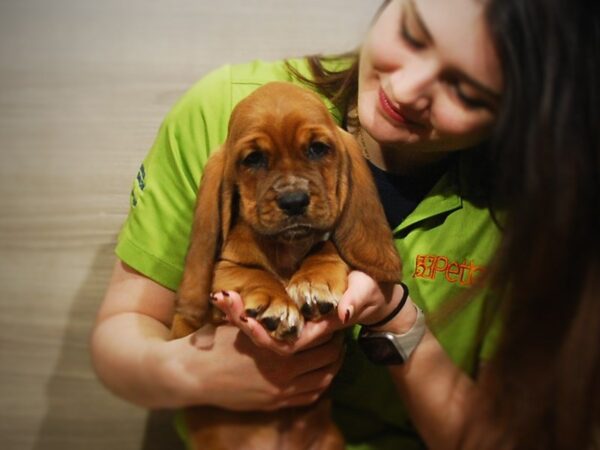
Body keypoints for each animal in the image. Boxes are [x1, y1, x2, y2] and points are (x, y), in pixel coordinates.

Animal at [171, 81, 400, 450]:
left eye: (318, 149)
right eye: (253, 159)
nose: (294, 202)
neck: (284, 248)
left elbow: (324, 247)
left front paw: (314, 282)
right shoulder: (218, 285)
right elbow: (250, 272)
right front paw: (276, 302)